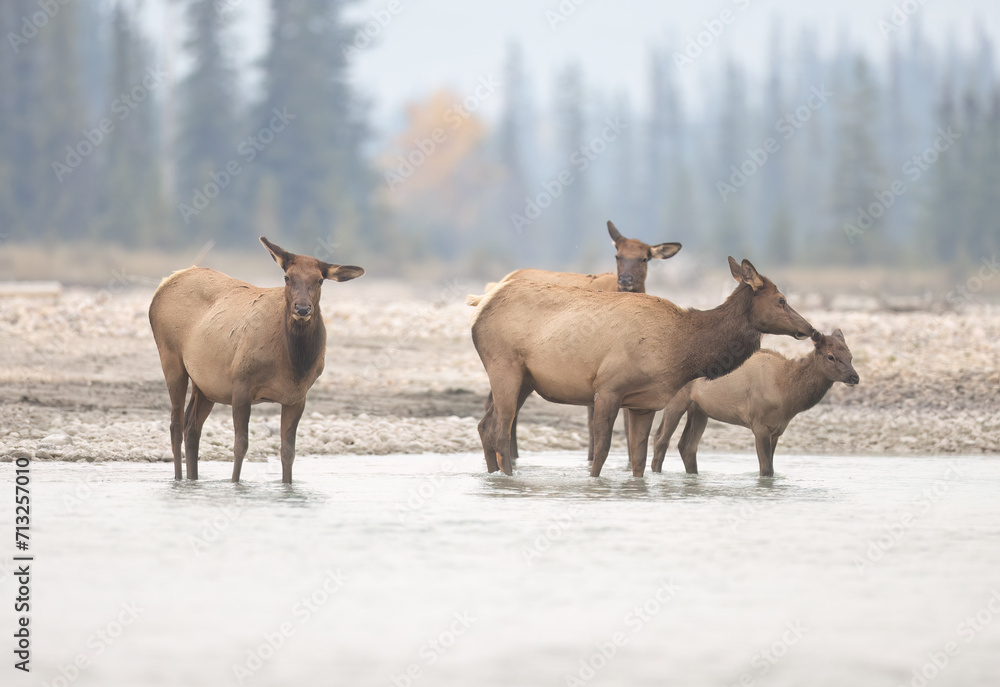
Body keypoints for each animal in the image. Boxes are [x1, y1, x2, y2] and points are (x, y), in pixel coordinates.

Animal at [148, 237, 364, 484]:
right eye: (287, 277)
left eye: (319, 280)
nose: (301, 308)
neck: (293, 364)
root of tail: (163, 284)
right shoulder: (241, 384)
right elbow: (240, 445)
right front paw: (235, 483)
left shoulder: (297, 397)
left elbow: (288, 451)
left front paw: (287, 485)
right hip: (171, 359)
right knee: (175, 425)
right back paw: (178, 479)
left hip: (205, 384)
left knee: (192, 427)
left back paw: (193, 479)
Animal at [468, 257, 814, 477]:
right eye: (781, 299)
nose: (809, 328)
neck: (684, 347)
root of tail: (480, 305)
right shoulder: (608, 387)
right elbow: (603, 449)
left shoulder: (644, 402)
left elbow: (638, 457)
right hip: (504, 367)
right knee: (500, 430)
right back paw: (508, 478)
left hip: (526, 379)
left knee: (485, 426)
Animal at [477, 220, 682, 462]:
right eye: (618, 256)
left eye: (644, 258)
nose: (625, 280)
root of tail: (494, 286)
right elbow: (593, 418)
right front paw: (592, 457)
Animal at [650, 329, 859, 477]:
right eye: (830, 356)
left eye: (850, 356)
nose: (854, 377)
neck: (787, 396)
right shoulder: (759, 425)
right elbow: (766, 469)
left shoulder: (777, 429)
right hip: (676, 401)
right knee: (661, 440)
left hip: (700, 409)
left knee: (687, 446)